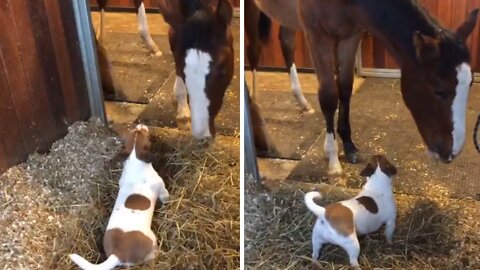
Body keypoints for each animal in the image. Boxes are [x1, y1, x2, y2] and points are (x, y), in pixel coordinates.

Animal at [69, 124, 170, 270]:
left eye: (135, 131)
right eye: (143, 133)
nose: (140, 125)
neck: (134, 159)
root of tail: (117, 255)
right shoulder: (160, 186)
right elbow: (165, 195)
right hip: (152, 239)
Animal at [253, 0, 478, 175]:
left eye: (470, 84)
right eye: (439, 91)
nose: (452, 152)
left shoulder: (350, 35)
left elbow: (345, 88)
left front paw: (348, 146)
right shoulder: (317, 36)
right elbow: (328, 96)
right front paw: (333, 158)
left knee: (286, 42)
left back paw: (301, 101)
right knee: (253, 48)